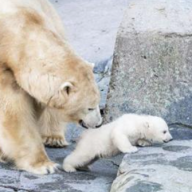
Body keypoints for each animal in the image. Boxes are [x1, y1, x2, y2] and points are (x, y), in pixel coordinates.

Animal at [0, 0, 103, 174]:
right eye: (89, 107)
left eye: (97, 103)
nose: (98, 124)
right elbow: (15, 114)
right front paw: (45, 166)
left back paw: (54, 138)